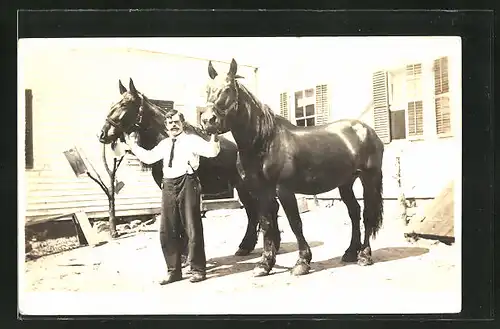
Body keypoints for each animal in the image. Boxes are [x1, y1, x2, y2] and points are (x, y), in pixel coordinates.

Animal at [201, 59, 384, 276]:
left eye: (227, 89)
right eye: (207, 89)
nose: (207, 120)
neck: (264, 142)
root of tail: (367, 130)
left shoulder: (284, 189)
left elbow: (295, 223)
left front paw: (302, 262)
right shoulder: (261, 191)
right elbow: (267, 224)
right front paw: (264, 264)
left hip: (369, 178)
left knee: (367, 215)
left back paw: (364, 255)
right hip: (345, 183)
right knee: (354, 212)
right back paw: (349, 253)